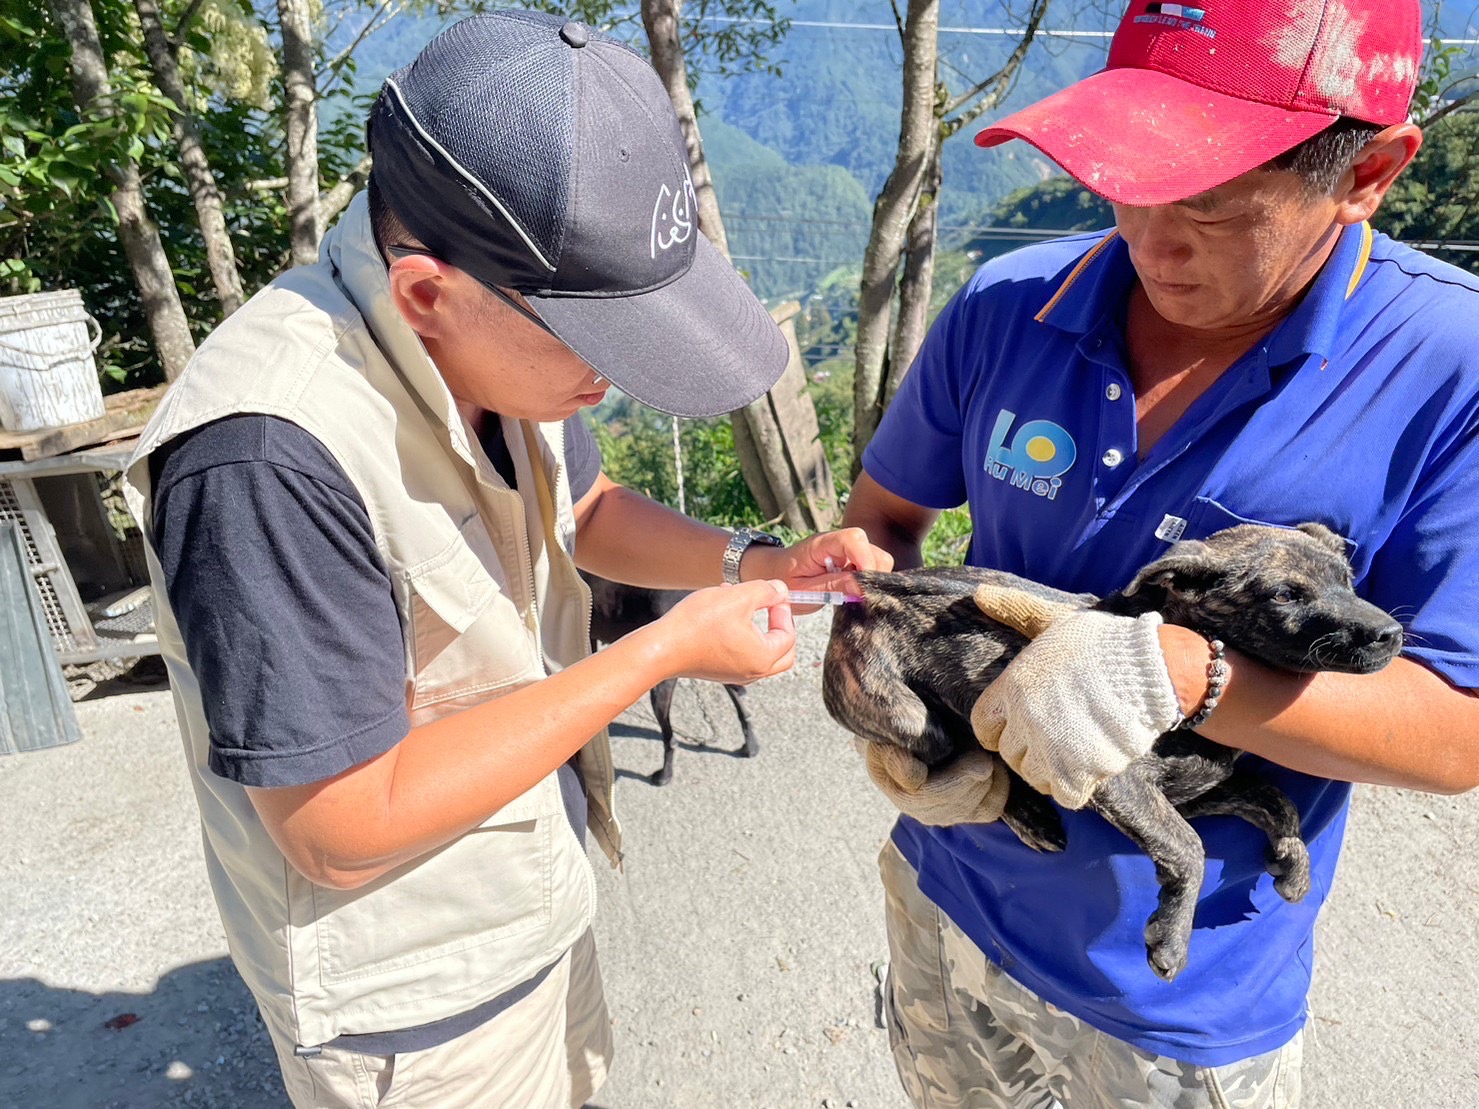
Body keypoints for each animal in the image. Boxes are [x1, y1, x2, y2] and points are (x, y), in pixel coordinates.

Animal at [828, 523, 1402, 981]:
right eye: (1285, 595)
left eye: (1348, 579)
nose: (1391, 634)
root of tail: (869, 587)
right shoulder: (1116, 782)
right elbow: (1190, 846)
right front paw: (1171, 937)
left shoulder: (1194, 792)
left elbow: (1275, 798)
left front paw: (1293, 863)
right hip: (911, 717)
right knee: (970, 752)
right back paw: (1029, 812)